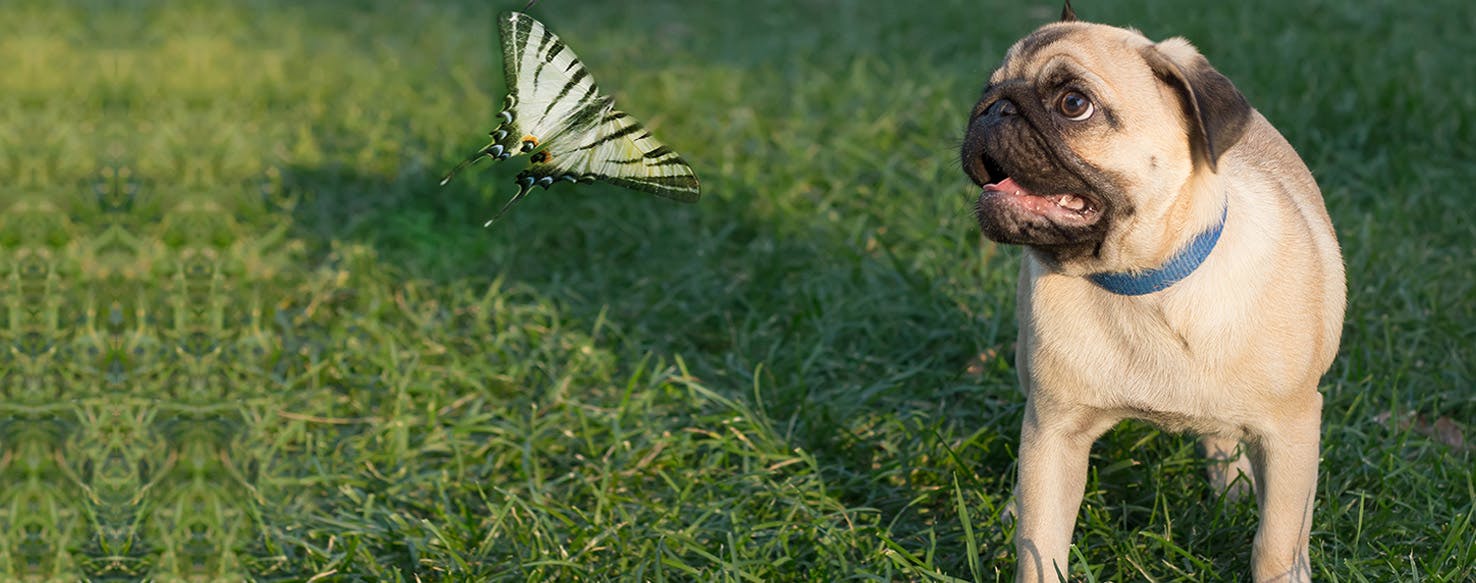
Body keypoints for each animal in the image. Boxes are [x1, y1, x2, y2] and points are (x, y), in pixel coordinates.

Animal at [962, 2, 1346, 581]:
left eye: (1073, 104)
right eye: (987, 87)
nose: (994, 108)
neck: (1143, 283)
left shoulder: (1292, 432)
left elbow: (1276, 543)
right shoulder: (1055, 433)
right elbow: (1040, 542)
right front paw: (1024, 536)